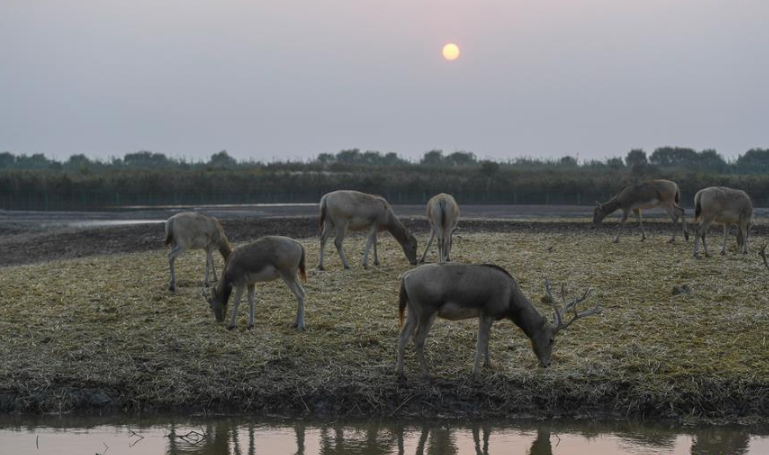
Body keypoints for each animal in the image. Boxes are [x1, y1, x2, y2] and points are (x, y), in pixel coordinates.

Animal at [396, 263, 601, 381]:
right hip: (428, 308)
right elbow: (480, 342)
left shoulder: (487, 315)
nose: (547, 363)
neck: (509, 303)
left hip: (413, 309)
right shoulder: (488, 311)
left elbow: (487, 340)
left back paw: (400, 372)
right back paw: (427, 373)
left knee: (403, 335)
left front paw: (489, 364)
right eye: (552, 339)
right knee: (418, 338)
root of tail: (405, 277)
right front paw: (475, 373)